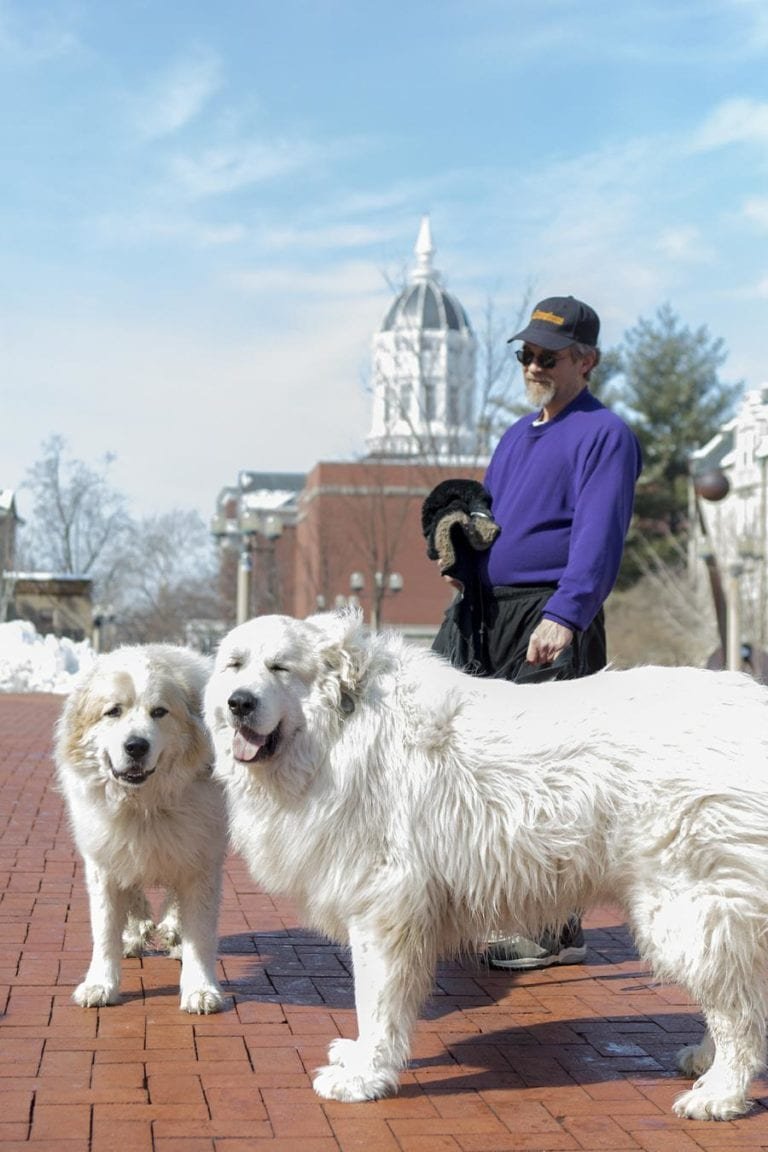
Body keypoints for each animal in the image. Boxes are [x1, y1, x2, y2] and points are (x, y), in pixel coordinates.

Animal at [55, 645, 226, 1013]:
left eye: (159, 712)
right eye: (113, 712)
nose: (136, 746)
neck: (143, 806)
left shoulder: (201, 860)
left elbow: (200, 933)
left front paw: (200, 989)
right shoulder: (104, 860)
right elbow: (105, 928)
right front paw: (100, 984)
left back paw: (172, 931)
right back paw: (134, 934)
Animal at [202, 608, 768, 1119]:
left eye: (280, 668)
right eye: (234, 664)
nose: (239, 703)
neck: (340, 728)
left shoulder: (384, 908)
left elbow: (376, 1002)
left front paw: (366, 1076)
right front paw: (360, 1057)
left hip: (691, 904)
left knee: (738, 1012)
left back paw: (721, 1093)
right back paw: (707, 1065)